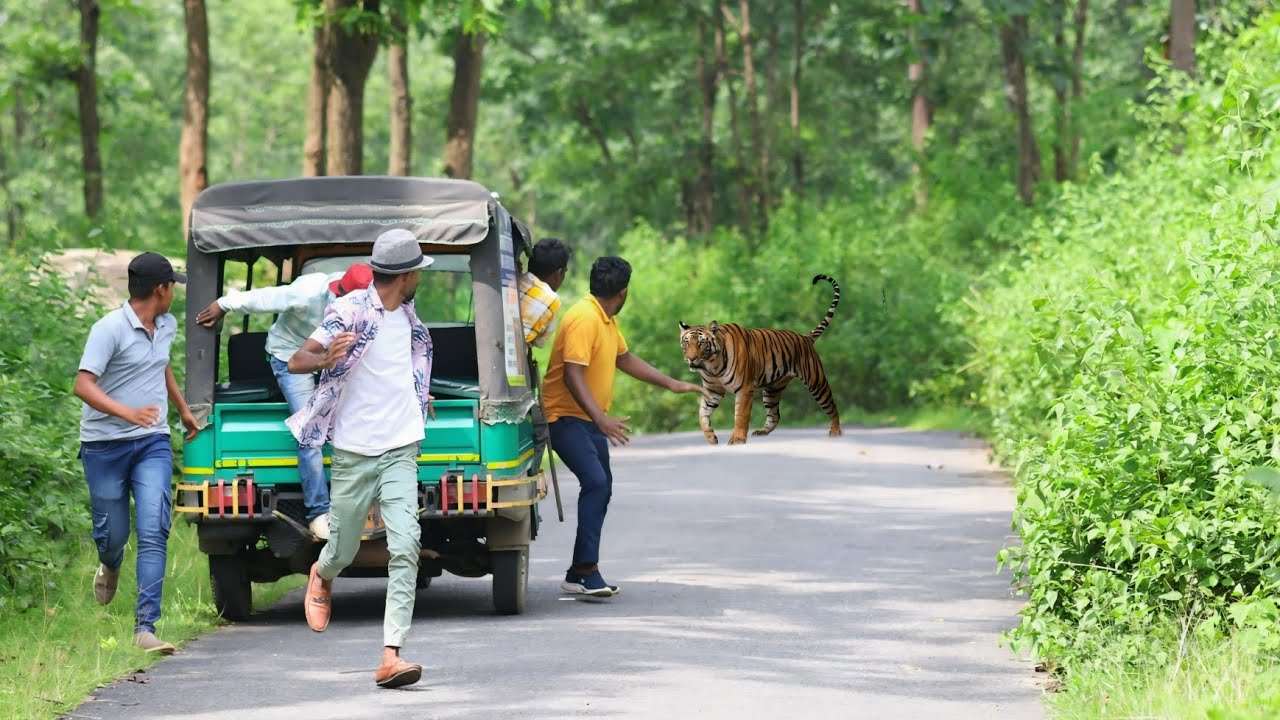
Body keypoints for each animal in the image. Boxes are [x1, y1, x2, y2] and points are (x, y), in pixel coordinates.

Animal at [679, 274, 842, 446]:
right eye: (686, 342)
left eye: (702, 343)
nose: (691, 358)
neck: (712, 366)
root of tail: (805, 337)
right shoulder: (713, 391)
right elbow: (702, 415)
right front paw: (711, 438)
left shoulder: (744, 389)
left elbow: (741, 416)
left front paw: (737, 439)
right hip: (772, 389)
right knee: (775, 415)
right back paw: (762, 432)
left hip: (816, 382)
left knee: (832, 406)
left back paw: (835, 431)